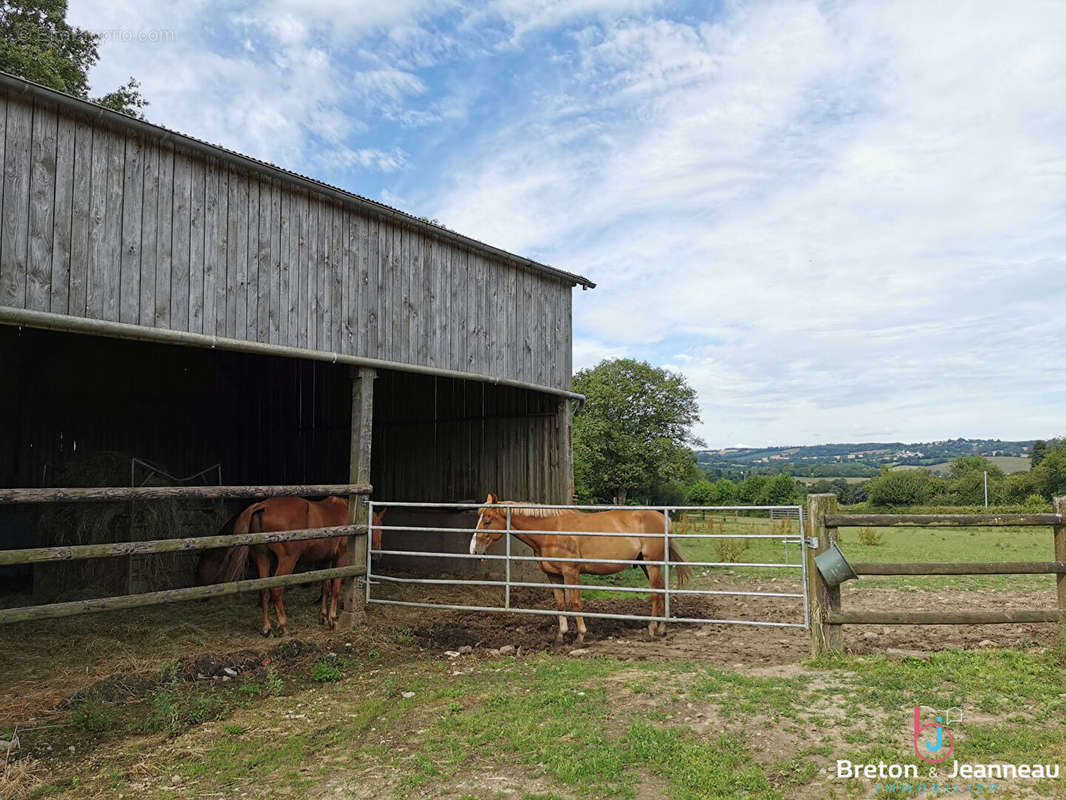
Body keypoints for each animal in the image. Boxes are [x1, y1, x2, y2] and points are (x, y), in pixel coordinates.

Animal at [220, 499, 383, 635]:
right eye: (378, 529)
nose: (377, 555)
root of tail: (263, 506)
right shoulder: (340, 558)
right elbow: (335, 588)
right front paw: (332, 618)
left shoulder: (326, 560)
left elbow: (325, 588)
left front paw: (323, 616)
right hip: (287, 560)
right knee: (276, 589)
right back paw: (283, 625)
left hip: (263, 559)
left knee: (264, 591)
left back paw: (267, 628)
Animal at [469, 494, 690, 644]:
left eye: (487, 520)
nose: (474, 550)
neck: (551, 531)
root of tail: (663, 519)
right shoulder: (553, 576)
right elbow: (560, 604)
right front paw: (561, 636)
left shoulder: (571, 573)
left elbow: (575, 603)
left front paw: (581, 636)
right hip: (646, 564)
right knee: (661, 590)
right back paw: (662, 628)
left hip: (652, 564)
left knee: (655, 593)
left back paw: (651, 629)